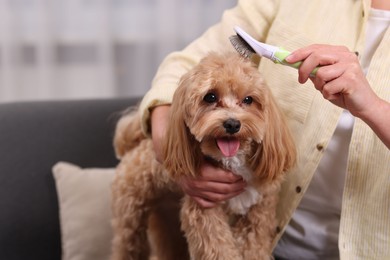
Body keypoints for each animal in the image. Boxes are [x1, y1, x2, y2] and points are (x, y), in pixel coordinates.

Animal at [111, 51, 298, 258]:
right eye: (210, 97)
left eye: (249, 99)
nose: (232, 124)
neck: (233, 162)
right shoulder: (203, 211)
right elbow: (219, 249)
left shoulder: (259, 212)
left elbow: (253, 247)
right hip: (130, 215)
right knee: (126, 246)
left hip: (167, 220)